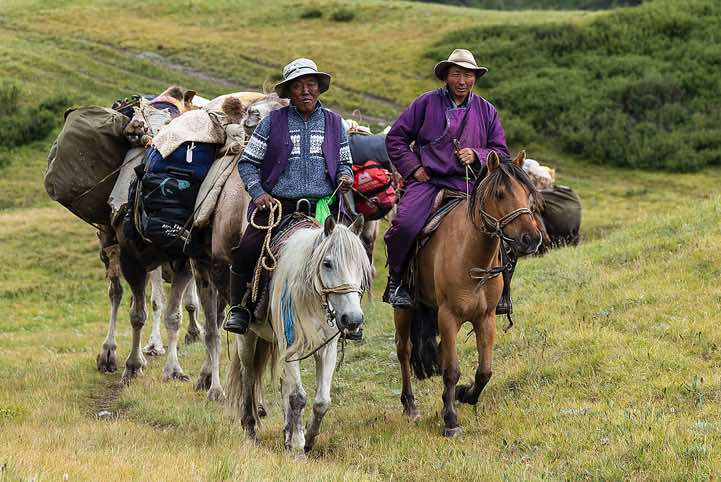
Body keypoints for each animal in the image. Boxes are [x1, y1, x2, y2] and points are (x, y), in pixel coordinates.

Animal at [394, 150, 543, 437]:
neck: (471, 254)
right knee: (404, 350)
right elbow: (451, 370)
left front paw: (463, 395)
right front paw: (451, 420)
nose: (531, 239)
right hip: (404, 310)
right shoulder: (448, 316)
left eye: (526, 192)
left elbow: (484, 371)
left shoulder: (486, 317)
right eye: (499, 194)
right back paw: (410, 405)